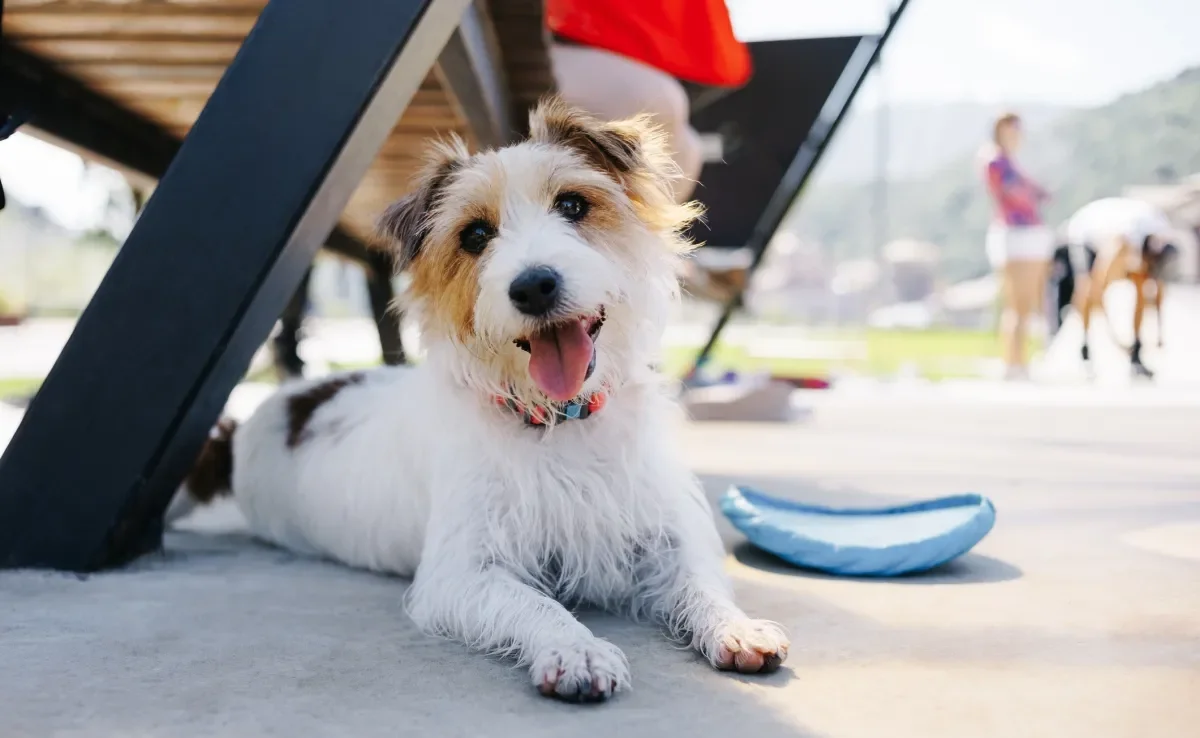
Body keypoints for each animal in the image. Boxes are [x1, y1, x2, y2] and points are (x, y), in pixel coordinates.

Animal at [169, 98, 787, 705]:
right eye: (474, 236)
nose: (533, 285)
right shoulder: (462, 574)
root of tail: (263, 417)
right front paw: (576, 649)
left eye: (572, 204)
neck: (558, 420)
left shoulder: (662, 537)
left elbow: (700, 583)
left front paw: (737, 625)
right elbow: (537, 604)